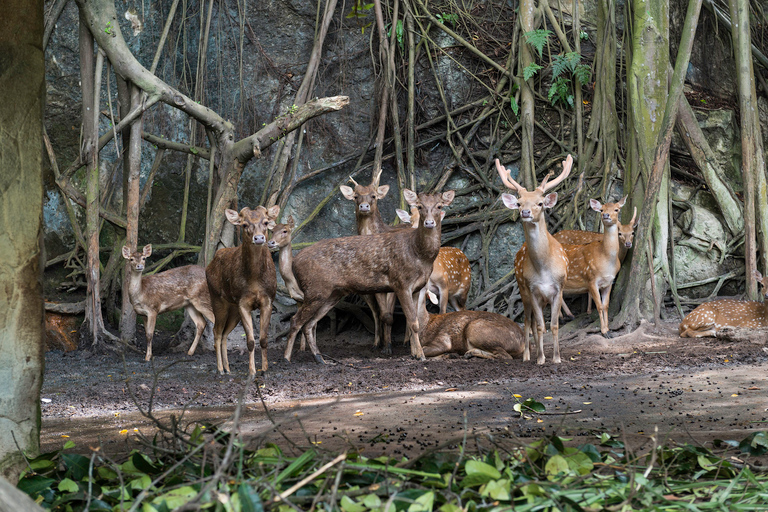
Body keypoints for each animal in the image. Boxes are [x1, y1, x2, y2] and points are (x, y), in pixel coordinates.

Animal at [204, 204, 280, 376]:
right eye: (244, 224)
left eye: (266, 222)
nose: (259, 238)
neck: (255, 280)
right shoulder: (243, 302)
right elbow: (250, 341)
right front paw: (252, 371)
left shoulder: (268, 300)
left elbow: (263, 339)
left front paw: (264, 370)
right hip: (217, 298)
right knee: (216, 331)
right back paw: (220, 369)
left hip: (233, 309)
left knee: (225, 333)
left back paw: (228, 368)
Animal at [282, 189, 452, 364]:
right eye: (419, 206)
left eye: (439, 206)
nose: (429, 223)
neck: (420, 255)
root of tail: (294, 263)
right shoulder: (401, 283)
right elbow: (413, 322)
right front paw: (420, 355)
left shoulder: (417, 287)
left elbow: (414, 321)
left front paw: (414, 353)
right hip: (315, 289)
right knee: (296, 320)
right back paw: (287, 358)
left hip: (332, 293)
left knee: (309, 324)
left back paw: (320, 358)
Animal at [496, 155, 572, 364]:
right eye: (519, 203)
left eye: (540, 203)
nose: (525, 212)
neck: (543, 269)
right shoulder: (532, 289)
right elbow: (538, 326)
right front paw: (540, 358)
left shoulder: (558, 288)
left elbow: (553, 325)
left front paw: (556, 358)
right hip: (522, 289)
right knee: (527, 321)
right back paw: (527, 355)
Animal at [560, 194, 632, 334]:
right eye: (602, 209)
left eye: (616, 209)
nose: (606, 215)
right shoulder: (591, 279)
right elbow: (598, 305)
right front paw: (603, 331)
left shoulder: (609, 282)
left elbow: (606, 305)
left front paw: (608, 329)